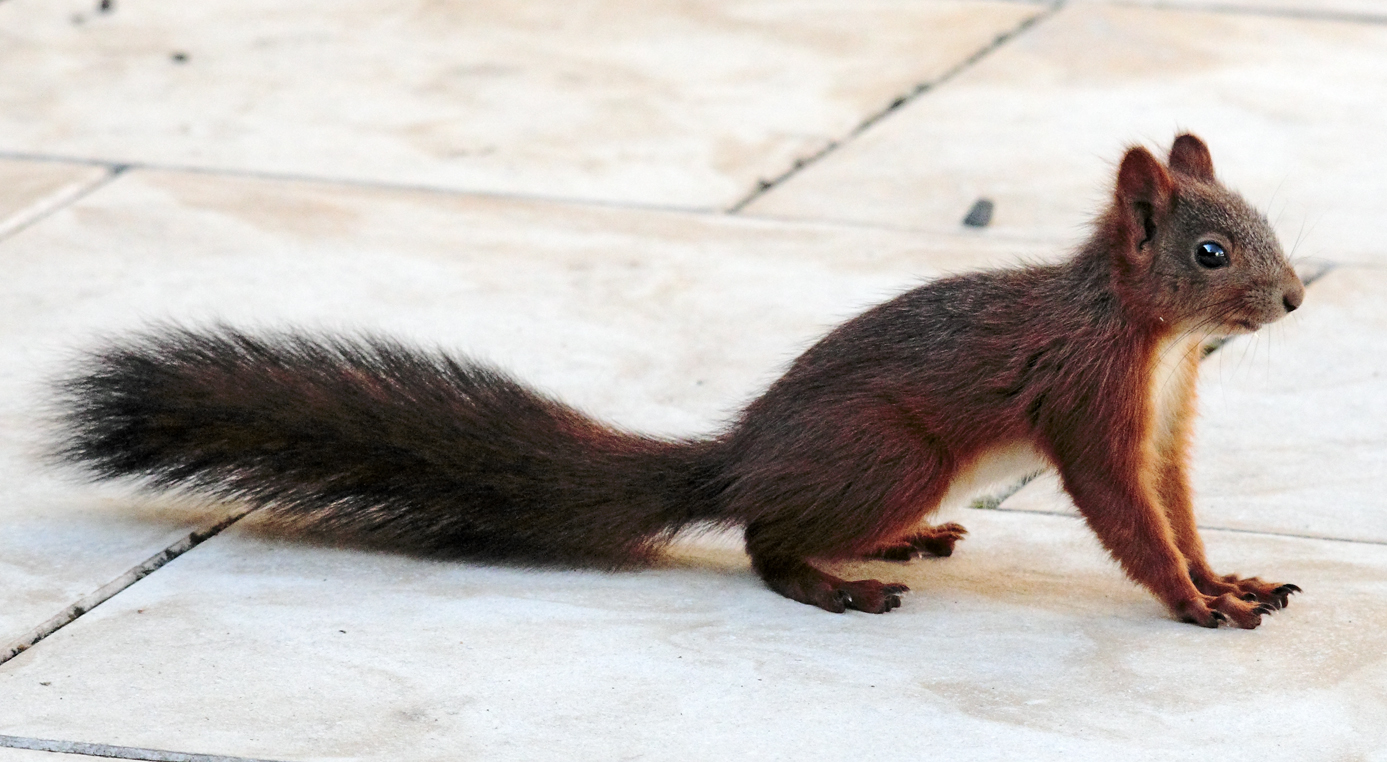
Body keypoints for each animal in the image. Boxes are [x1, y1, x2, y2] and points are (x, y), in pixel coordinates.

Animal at [54, 133, 1303, 627]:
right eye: (1209, 252)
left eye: (1264, 220)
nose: (1295, 299)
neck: (1151, 340)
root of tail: (736, 458)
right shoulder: (1088, 405)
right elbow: (1123, 515)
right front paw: (1192, 603)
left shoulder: (1165, 424)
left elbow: (1174, 505)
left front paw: (1226, 577)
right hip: (893, 452)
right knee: (760, 543)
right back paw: (838, 583)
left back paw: (894, 548)